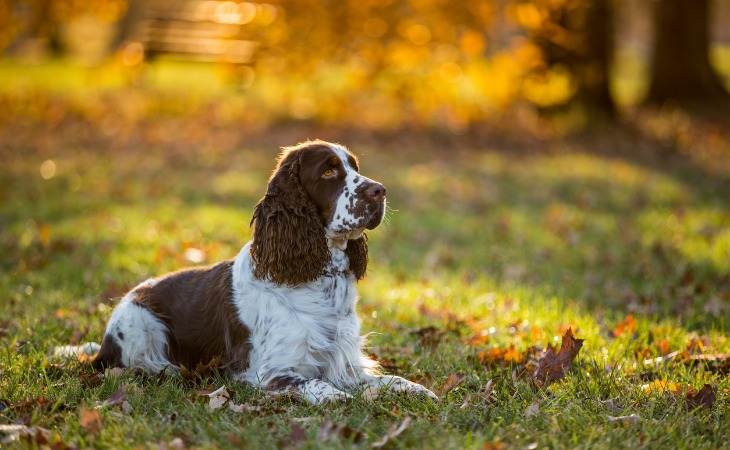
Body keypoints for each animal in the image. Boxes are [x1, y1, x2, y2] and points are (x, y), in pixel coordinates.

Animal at [89, 139, 432, 402]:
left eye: (355, 169)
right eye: (328, 171)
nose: (380, 191)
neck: (321, 277)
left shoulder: (346, 362)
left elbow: (391, 380)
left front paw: (419, 390)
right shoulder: (271, 372)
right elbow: (320, 385)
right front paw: (343, 398)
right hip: (141, 324)